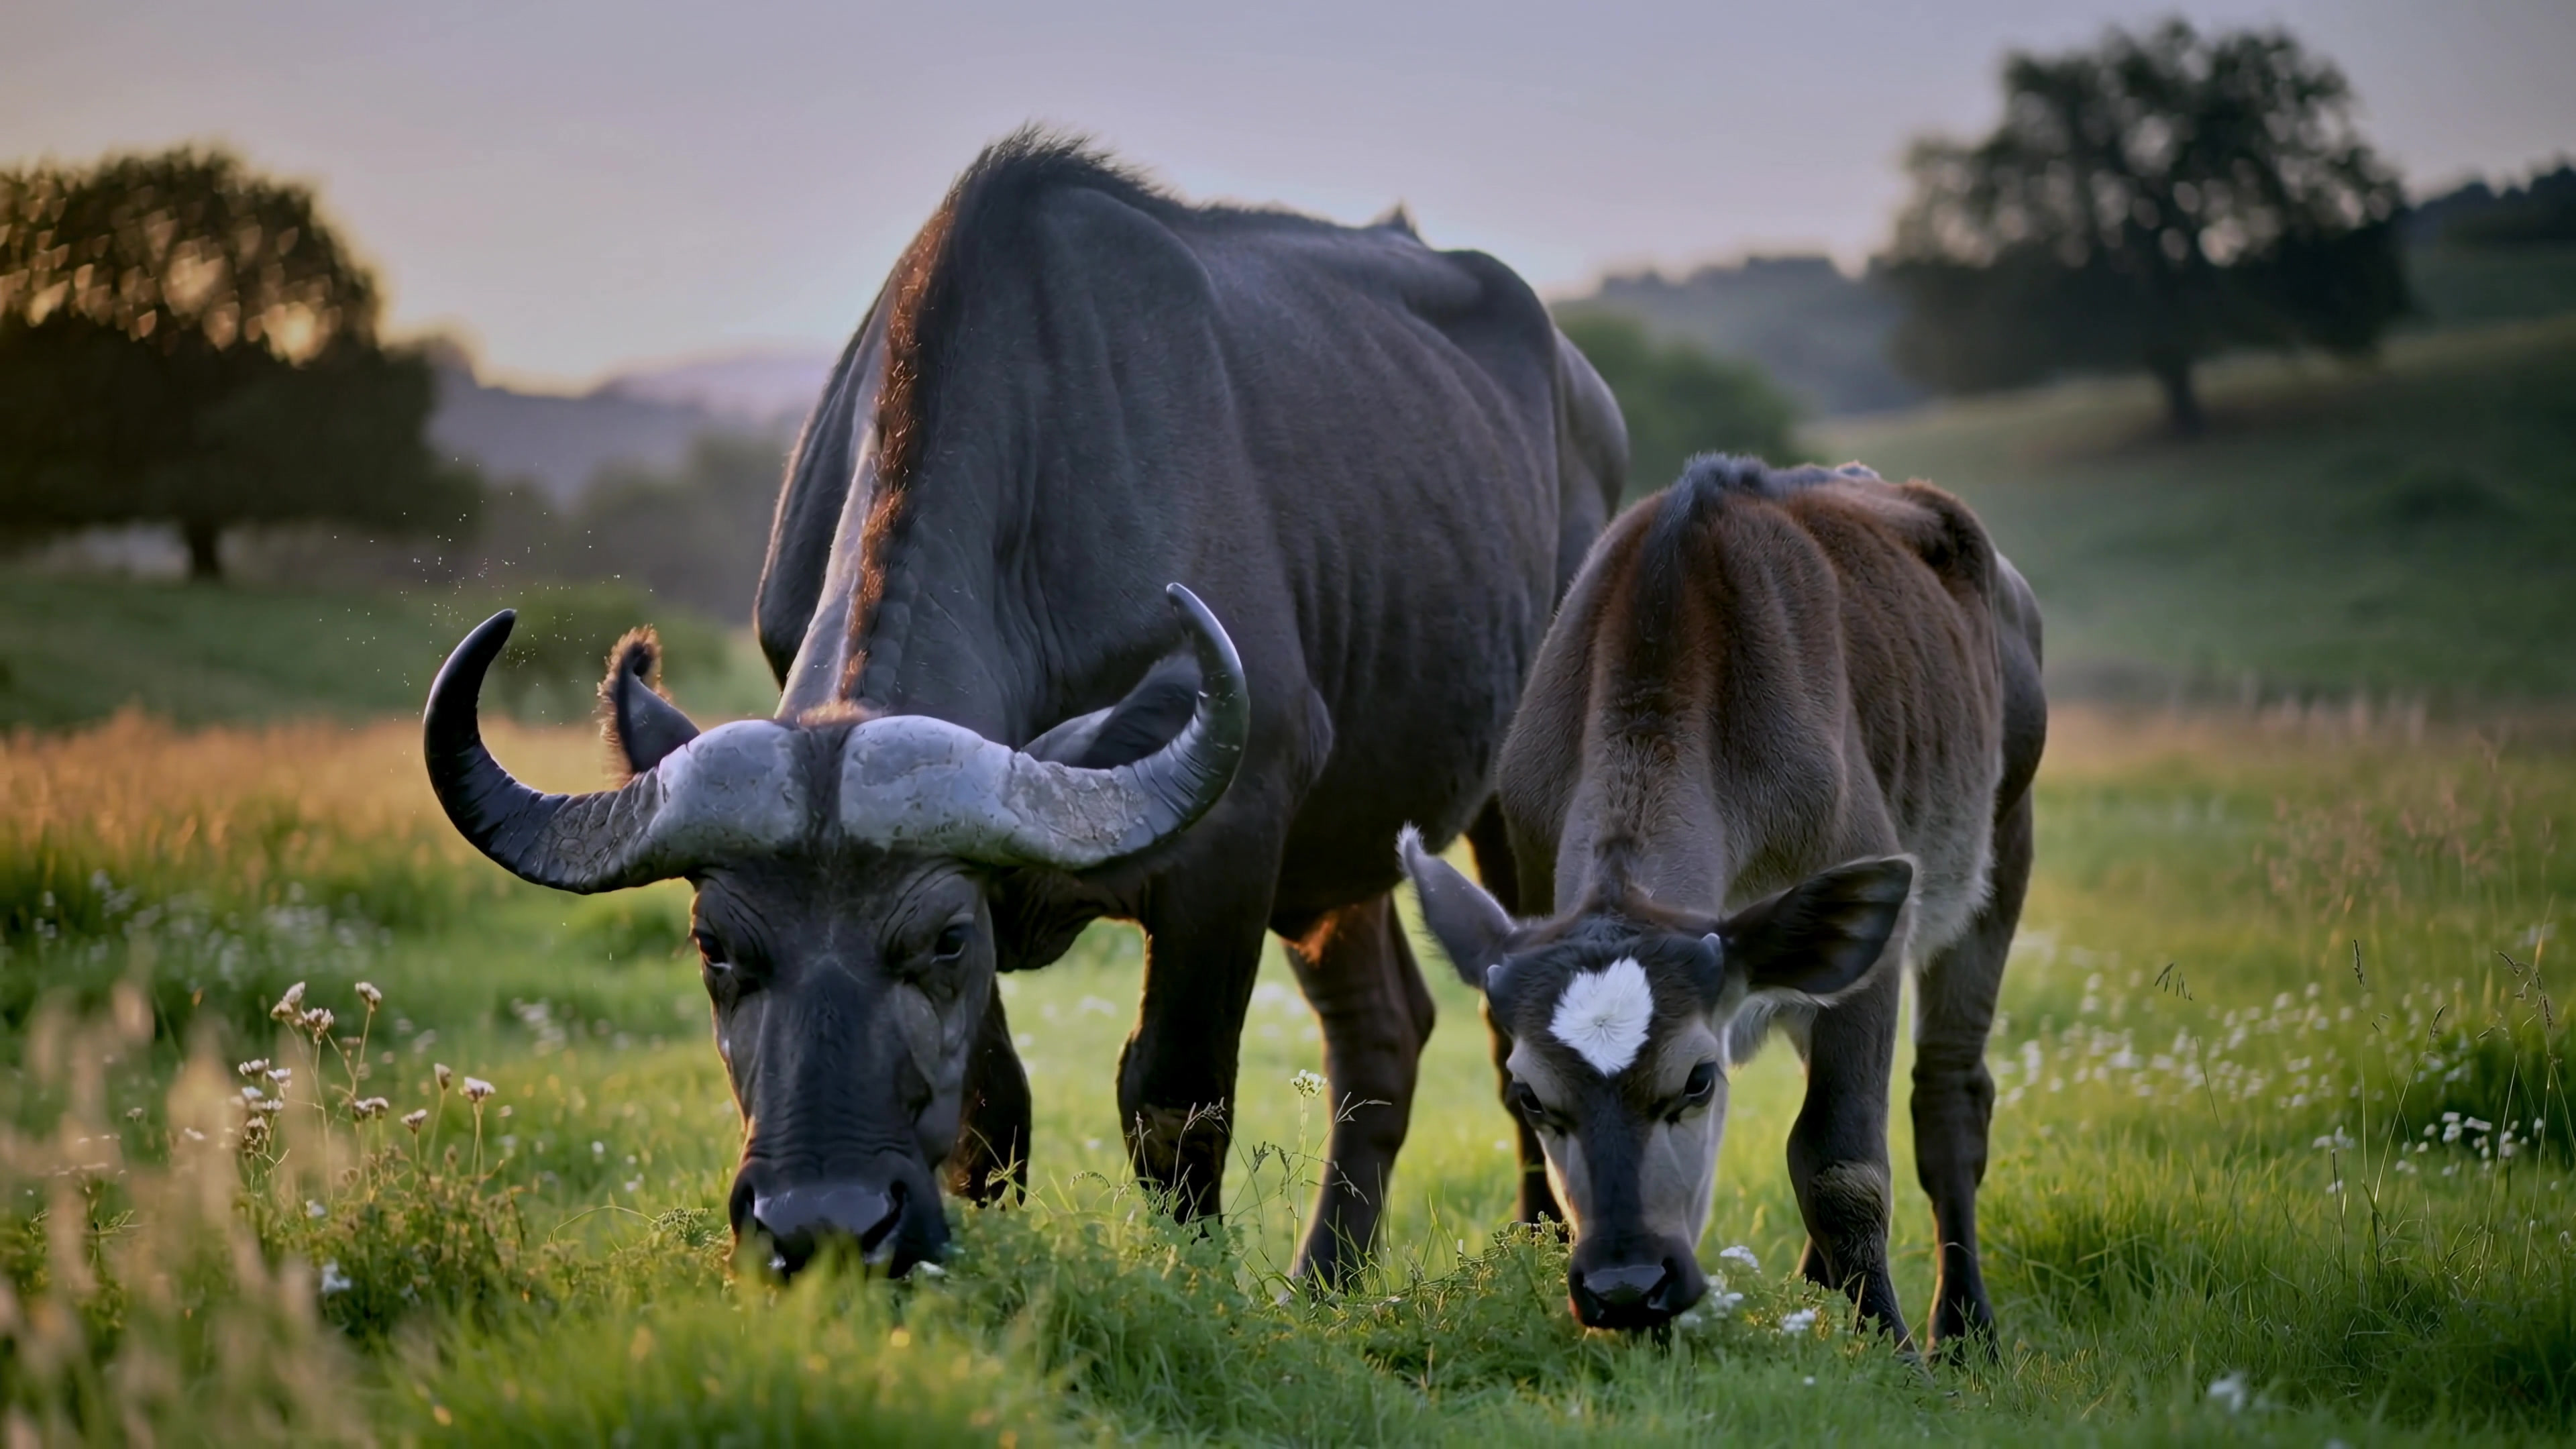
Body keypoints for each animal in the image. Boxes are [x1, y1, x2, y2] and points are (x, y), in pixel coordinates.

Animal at [421, 130, 1626, 1285]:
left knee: (1515, 1011)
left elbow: (1173, 1102)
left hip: (1505, 809)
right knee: (1383, 1030)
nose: (821, 1223)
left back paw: (1536, 1249)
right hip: (1340, 852)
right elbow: (990, 1117)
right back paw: (1325, 1279)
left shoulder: (1231, 847)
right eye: (715, 946)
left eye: (944, 939)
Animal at [1400, 455, 2044, 1348]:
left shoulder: (1870, 936)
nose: (1628, 1284)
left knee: (1950, 1096)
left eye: (1699, 1079)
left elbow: (1842, 1164)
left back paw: (1964, 1329)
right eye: (1531, 1094)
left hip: (2003, 837)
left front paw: (1892, 1352)